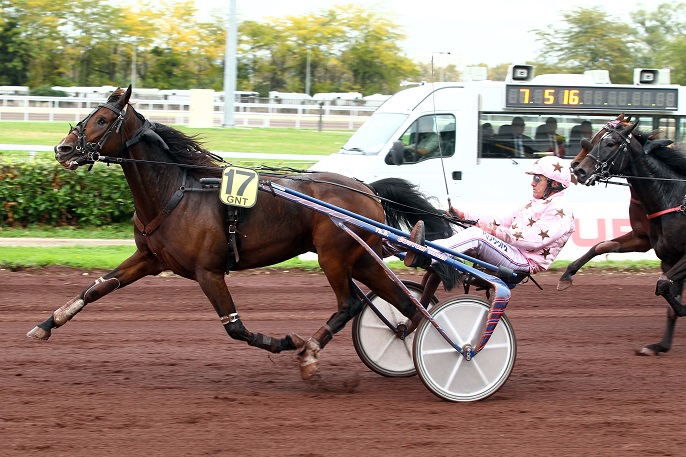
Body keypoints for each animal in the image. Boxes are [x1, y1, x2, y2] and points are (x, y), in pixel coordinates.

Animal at [28, 84, 456, 378]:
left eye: (102, 120)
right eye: (88, 115)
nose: (62, 149)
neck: (176, 190)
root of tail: (366, 188)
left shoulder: (208, 271)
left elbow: (235, 327)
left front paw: (284, 341)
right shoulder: (149, 258)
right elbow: (95, 288)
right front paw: (46, 325)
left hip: (334, 256)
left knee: (350, 304)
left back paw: (311, 351)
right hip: (360, 258)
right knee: (405, 304)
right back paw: (412, 339)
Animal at [576, 119, 686, 354]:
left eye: (610, 143)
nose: (580, 170)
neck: (676, 201)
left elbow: (663, 285)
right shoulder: (667, 257)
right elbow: (665, 288)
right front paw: (660, 346)